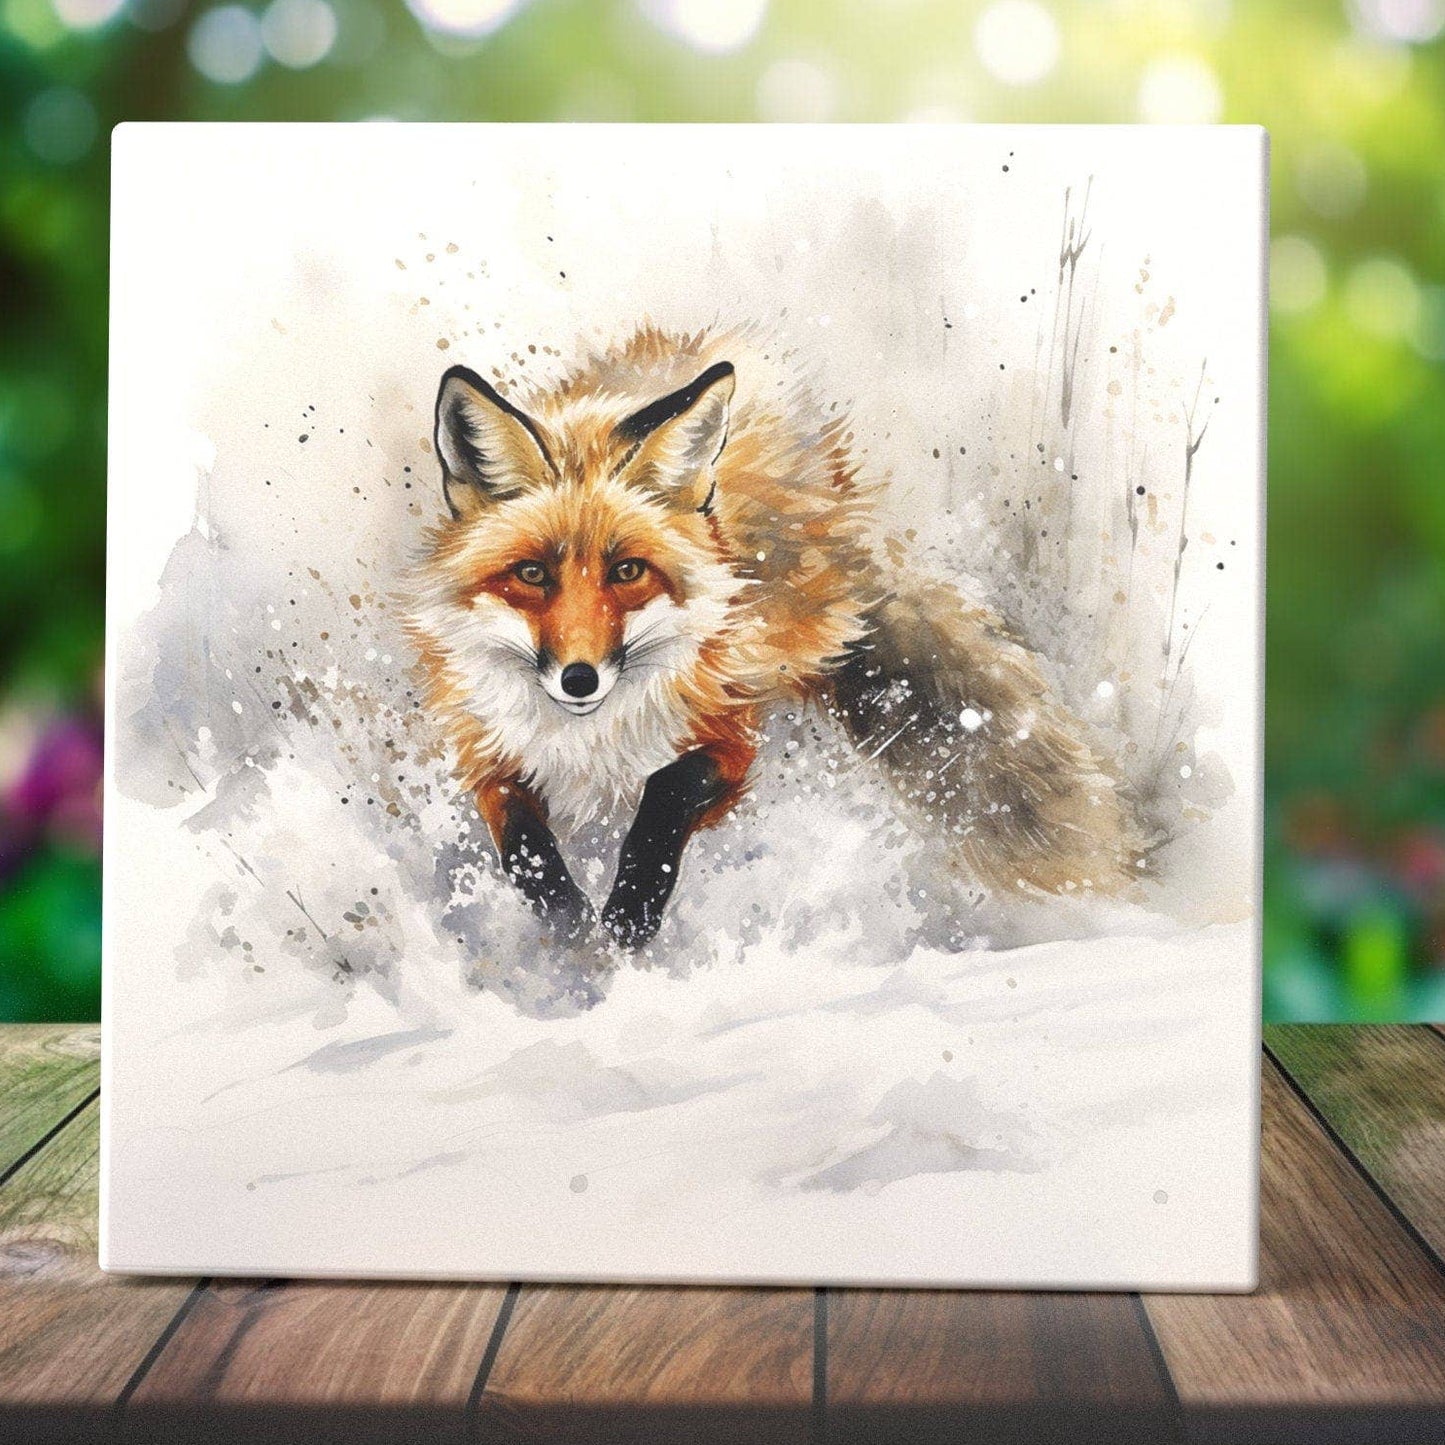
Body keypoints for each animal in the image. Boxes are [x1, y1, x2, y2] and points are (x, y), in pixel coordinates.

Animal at [404, 325, 1141, 950]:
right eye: (531, 574)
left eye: (627, 571)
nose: (578, 677)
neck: (593, 736)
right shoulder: (488, 748)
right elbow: (524, 846)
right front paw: (567, 926)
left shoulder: (726, 729)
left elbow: (664, 794)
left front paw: (630, 913)